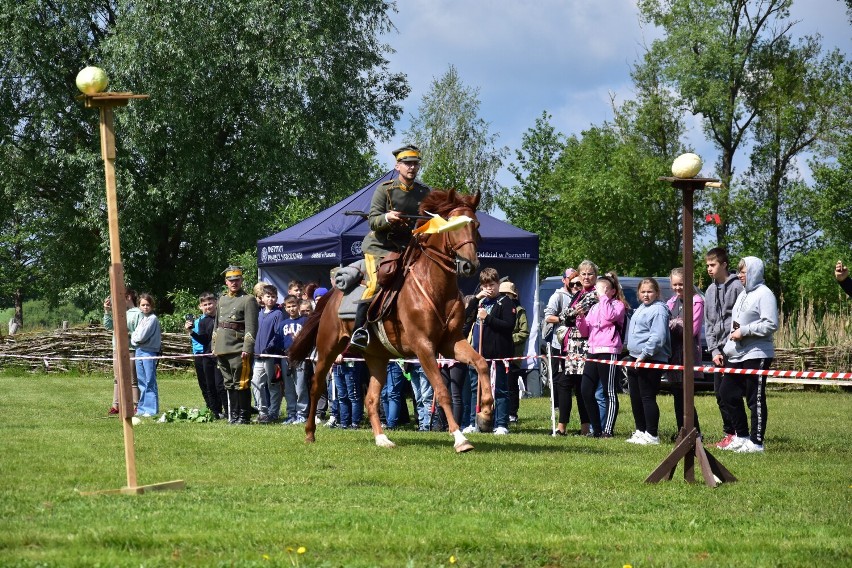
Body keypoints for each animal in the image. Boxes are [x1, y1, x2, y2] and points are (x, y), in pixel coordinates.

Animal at [290, 190, 496, 452]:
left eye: (476, 225)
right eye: (452, 226)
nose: (470, 265)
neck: (434, 286)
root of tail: (332, 294)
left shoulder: (450, 343)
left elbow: (480, 363)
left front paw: (486, 414)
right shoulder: (423, 347)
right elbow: (442, 390)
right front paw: (460, 438)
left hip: (376, 357)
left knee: (370, 398)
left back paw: (382, 438)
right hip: (328, 348)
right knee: (316, 385)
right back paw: (309, 433)